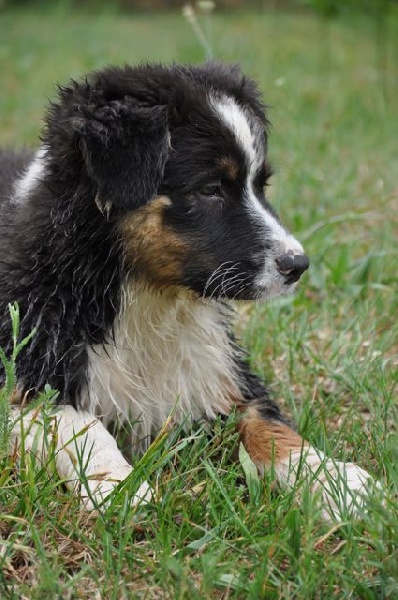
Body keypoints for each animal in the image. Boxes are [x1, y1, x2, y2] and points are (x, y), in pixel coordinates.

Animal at [0, 63, 378, 516]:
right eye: (211, 189)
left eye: (260, 186)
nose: (298, 265)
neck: (149, 298)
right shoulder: (22, 366)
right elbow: (75, 423)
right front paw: (121, 488)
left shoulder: (219, 373)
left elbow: (268, 426)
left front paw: (339, 481)